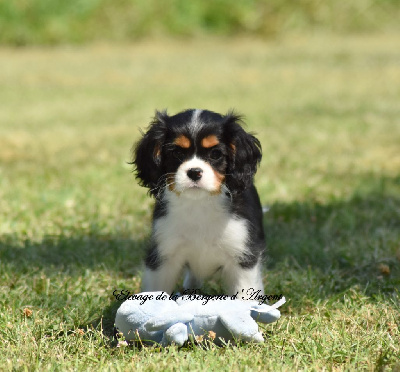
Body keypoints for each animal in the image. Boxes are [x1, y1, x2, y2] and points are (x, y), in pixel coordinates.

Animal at [134, 109, 266, 294]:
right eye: (177, 153)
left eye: (215, 154)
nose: (194, 172)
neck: (200, 203)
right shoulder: (163, 255)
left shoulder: (242, 257)